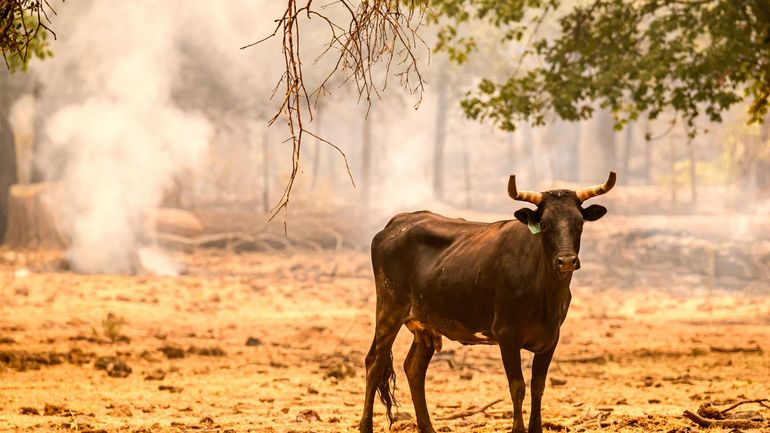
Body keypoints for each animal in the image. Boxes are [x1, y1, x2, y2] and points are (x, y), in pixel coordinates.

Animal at [356, 172, 616, 432]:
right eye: (544, 224)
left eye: (579, 223)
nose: (566, 261)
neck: (545, 292)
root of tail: (398, 221)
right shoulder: (507, 334)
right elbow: (518, 387)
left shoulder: (551, 337)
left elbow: (538, 386)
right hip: (389, 307)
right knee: (374, 362)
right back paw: (366, 425)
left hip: (425, 324)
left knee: (414, 368)